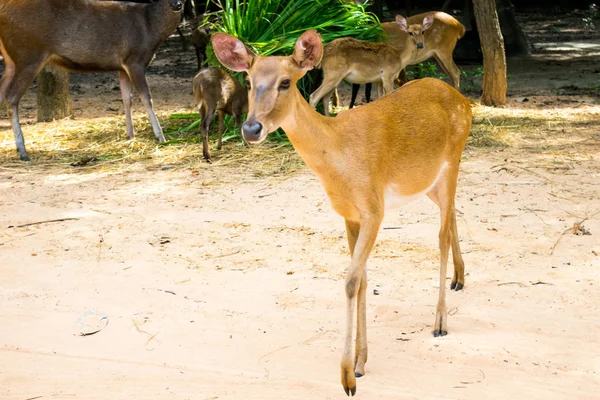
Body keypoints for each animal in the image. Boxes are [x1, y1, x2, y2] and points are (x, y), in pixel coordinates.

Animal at [0, 0, 183, 162]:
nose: (177, 4)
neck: (151, 29)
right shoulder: (135, 60)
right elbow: (147, 98)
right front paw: (161, 137)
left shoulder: (122, 66)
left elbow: (127, 99)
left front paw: (130, 135)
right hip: (29, 55)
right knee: (11, 97)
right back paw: (23, 151)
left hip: (12, 61)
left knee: (2, 93)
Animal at [213, 30, 472, 396]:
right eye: (248, 81)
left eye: (286, 82)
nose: (251, 129)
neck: (340, 157)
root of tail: (464, 101)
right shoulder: (349, 214)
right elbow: (362, 280)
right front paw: (361, 363)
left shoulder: (374, 208)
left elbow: (350, 281)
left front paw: (347, 377)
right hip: (428, 183)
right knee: (452, 217)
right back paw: (459, 279)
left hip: (453, 160)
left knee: (441, 236)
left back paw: (439, 322)